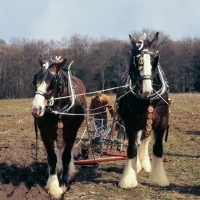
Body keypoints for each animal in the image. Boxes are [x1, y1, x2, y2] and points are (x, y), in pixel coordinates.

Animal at [31, 55, 86, 198]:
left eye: (52, 82)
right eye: (35, 81)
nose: (36, 109)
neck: (58, 110)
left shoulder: (71, 131)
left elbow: (66, 155)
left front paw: (64, 182)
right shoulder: (45, 132)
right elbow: (52, 157)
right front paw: (53, 184)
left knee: (68, 150)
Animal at [116, 32, 170, 188]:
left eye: (154, 61)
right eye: (137, 61)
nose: (146, 90)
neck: (147, 101)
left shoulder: (162, 122)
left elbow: (157, 148)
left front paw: (158, 179)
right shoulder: (130, 124)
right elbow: (131, 148)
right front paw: (129, 179)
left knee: (144, 140)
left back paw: (143, 164)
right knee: (137, 142)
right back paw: (137, 166)